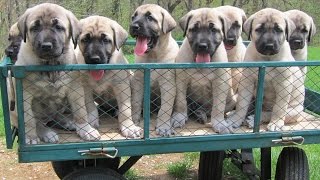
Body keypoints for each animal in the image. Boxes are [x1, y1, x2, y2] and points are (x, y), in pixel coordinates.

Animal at [14, 2, 100, 143]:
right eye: (35, 28)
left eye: (58, 27)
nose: (46, 46)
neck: (50, 65)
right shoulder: (24, 94)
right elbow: (28, 119)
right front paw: (30, 137)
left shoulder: (75, 89)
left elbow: (80, 111)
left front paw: (86, 130)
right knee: (38, 122)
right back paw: (46, 133)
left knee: (56, 115)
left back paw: (67, 122)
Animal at [130, 3, 180, 136]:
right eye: (133, 17)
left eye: (150, 17)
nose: (133, 26)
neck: (153, 56)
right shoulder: (138, 81)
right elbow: (135, 102)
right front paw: (134, 121)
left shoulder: (168, 84)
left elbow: (165, 108)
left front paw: (163, 127)